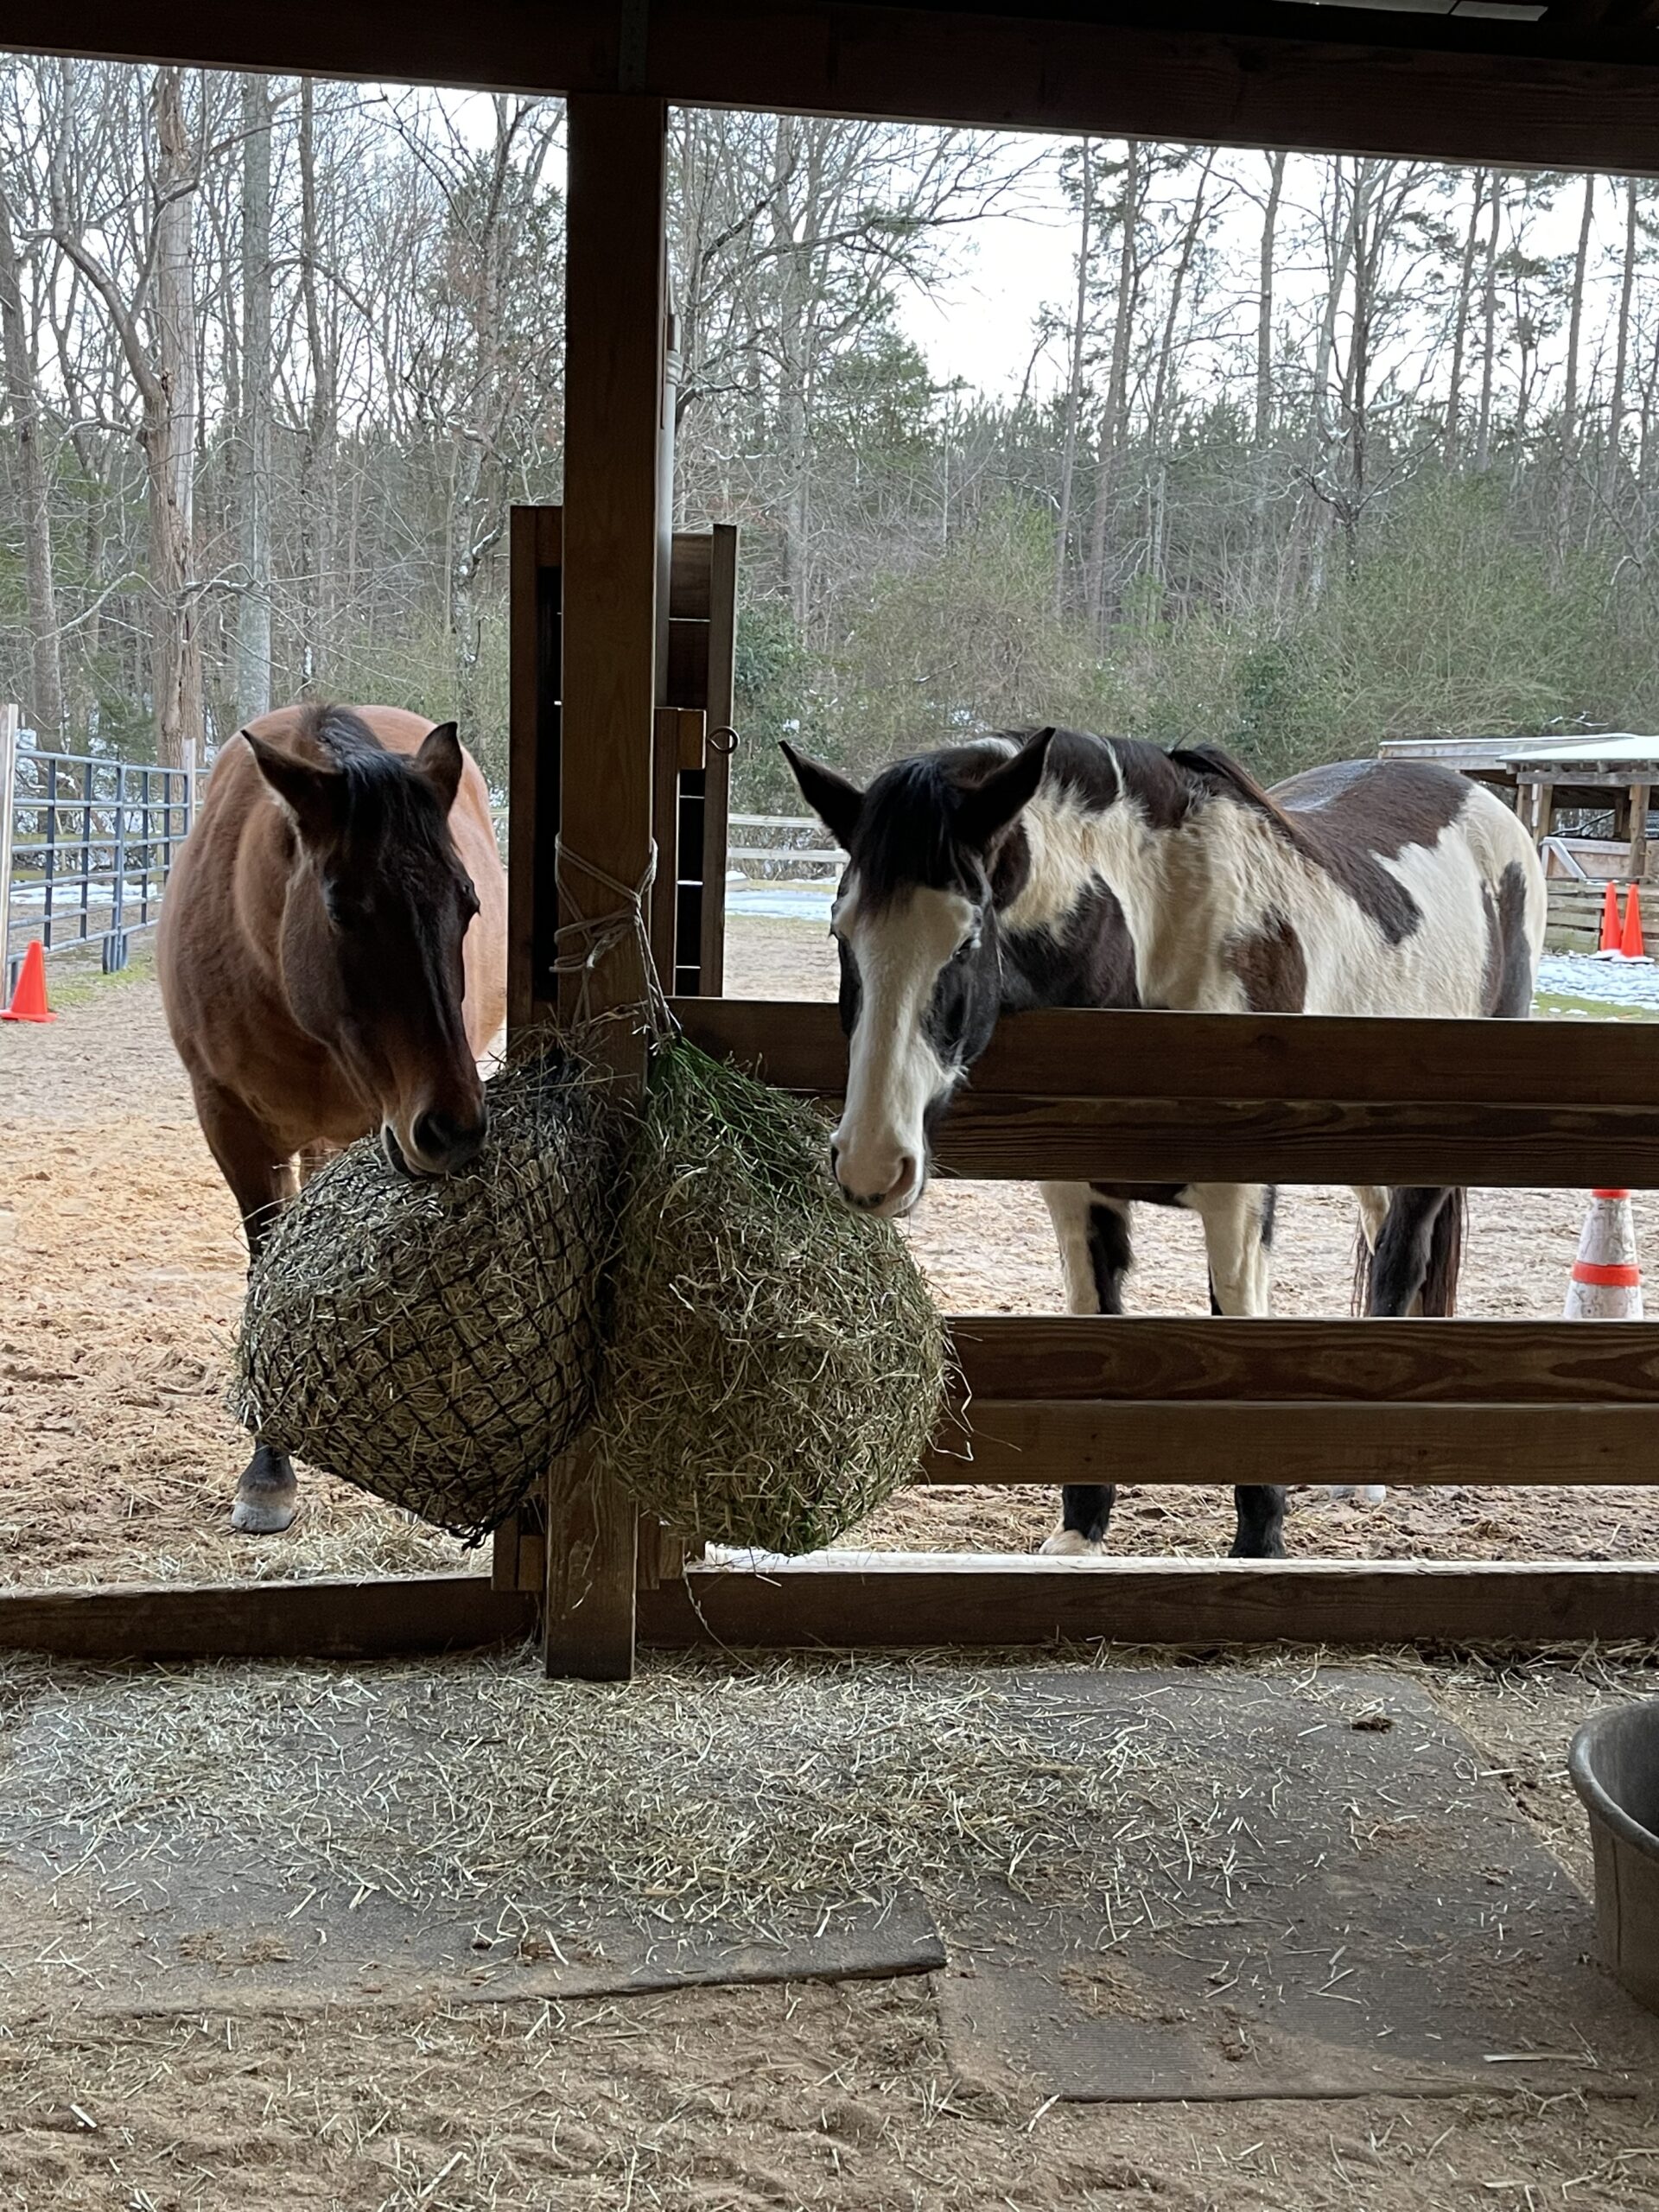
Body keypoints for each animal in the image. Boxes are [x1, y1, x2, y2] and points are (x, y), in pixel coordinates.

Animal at [167, 698, 512, 1530]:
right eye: (344, 908)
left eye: (468, 904)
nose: (454, 1129)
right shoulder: (228, 1123)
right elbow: (269, 1265)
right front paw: (268, 1469)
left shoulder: (371, 1123)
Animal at [787, 725, 1557, 1557]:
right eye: (842, 933)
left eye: (964, 942)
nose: (872, 1165)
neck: (1159, 936)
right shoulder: (1078, 1195)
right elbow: (1098, 1337)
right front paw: (1081, 1533)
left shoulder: (1238, 1203)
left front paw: (1259, 1544)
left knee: (1401, 1258)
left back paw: (1362, 1474)